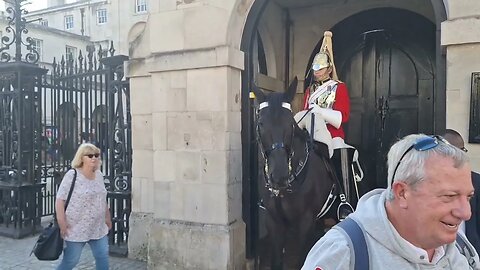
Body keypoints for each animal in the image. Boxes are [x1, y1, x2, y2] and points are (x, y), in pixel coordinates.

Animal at [253, 77, 340, 268]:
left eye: (289, 122)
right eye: (261, 123)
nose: (279, 176)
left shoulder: (305, 223)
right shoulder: (274, 221)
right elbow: (277, 262)